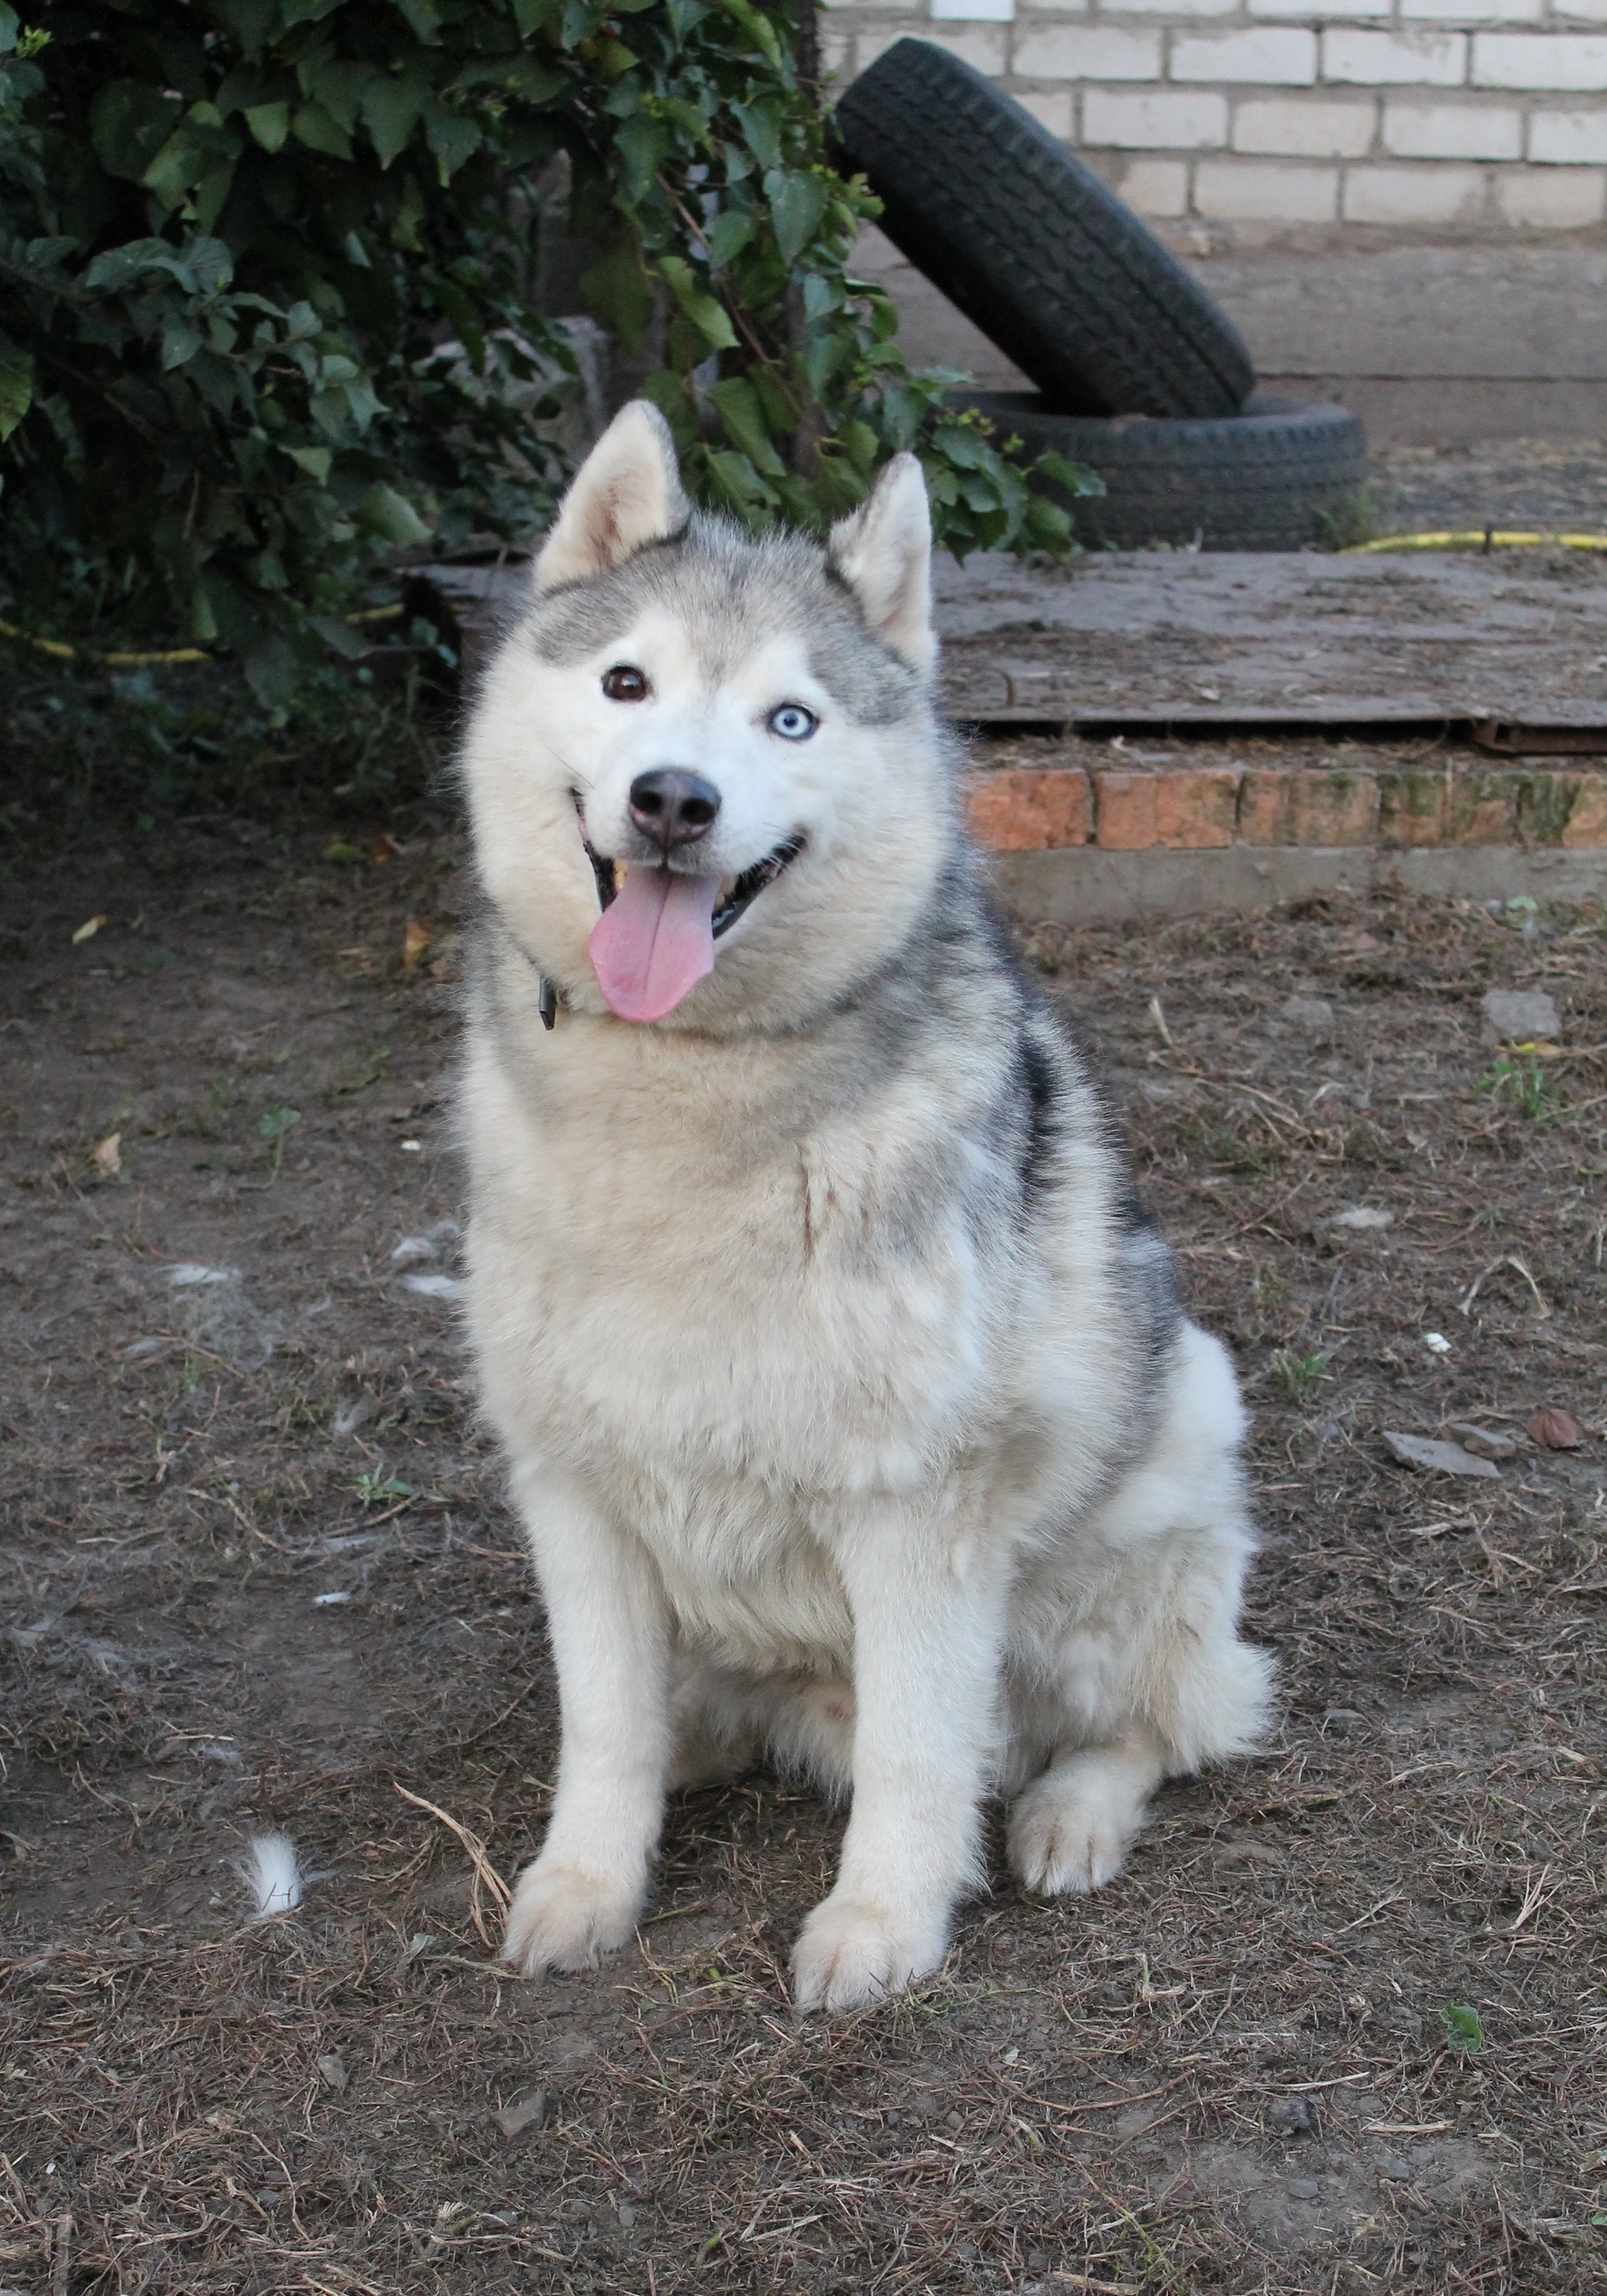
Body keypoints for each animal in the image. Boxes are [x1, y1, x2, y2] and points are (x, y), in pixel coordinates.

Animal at [459, 399, 1276, 2011]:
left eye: (792, 721)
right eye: (626, 681)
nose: (673, 798)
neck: (687, 1092)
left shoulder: (912, 1512)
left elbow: (916, 1751)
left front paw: (885, 1922)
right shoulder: (572, 1490)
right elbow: (605, 1729)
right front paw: (586, 1882)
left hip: (1156, 1484)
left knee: (1149, 1725)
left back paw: (1070, 1812)